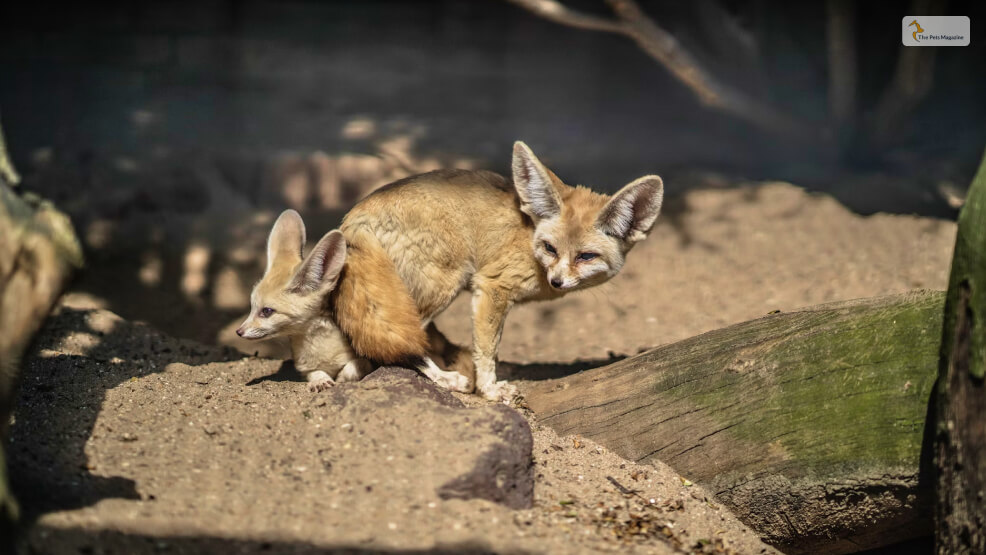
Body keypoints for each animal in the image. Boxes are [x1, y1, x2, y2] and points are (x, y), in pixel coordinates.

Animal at [236, 211, 370, 394]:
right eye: (251, 307)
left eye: (267, 311)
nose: (239, 332)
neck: (322, 349)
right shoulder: (305, 368)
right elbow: (316, 372)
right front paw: (321, 380)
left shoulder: (367, 359)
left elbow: (354, 366)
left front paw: (342, 377)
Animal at [334, 141, 664, 402]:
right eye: (550, 248)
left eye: (585, 256)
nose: (557, 282)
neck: (529, 238)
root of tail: (355, 214)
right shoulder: (492, 287)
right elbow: (487, 350)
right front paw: (490, 390)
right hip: (443, 284)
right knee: (397, 339)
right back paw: (441, 377)